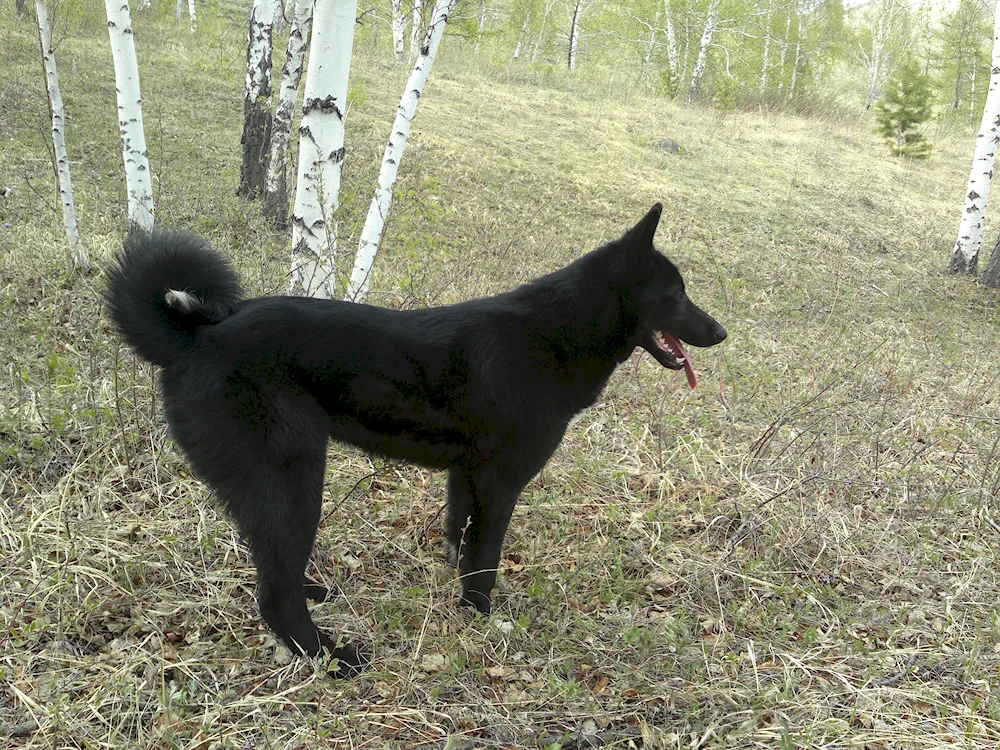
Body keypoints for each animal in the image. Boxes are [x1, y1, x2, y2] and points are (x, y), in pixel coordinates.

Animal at [105, 204, 728, 676]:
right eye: (676, 295)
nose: (722, 332)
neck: (556, 333)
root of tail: (194, 336)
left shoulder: (466, 477)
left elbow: (460, 542)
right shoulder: (500, 483)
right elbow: (485, 560)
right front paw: (481, 617)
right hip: (296, 478)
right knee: (273, 588)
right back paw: (330, 656)